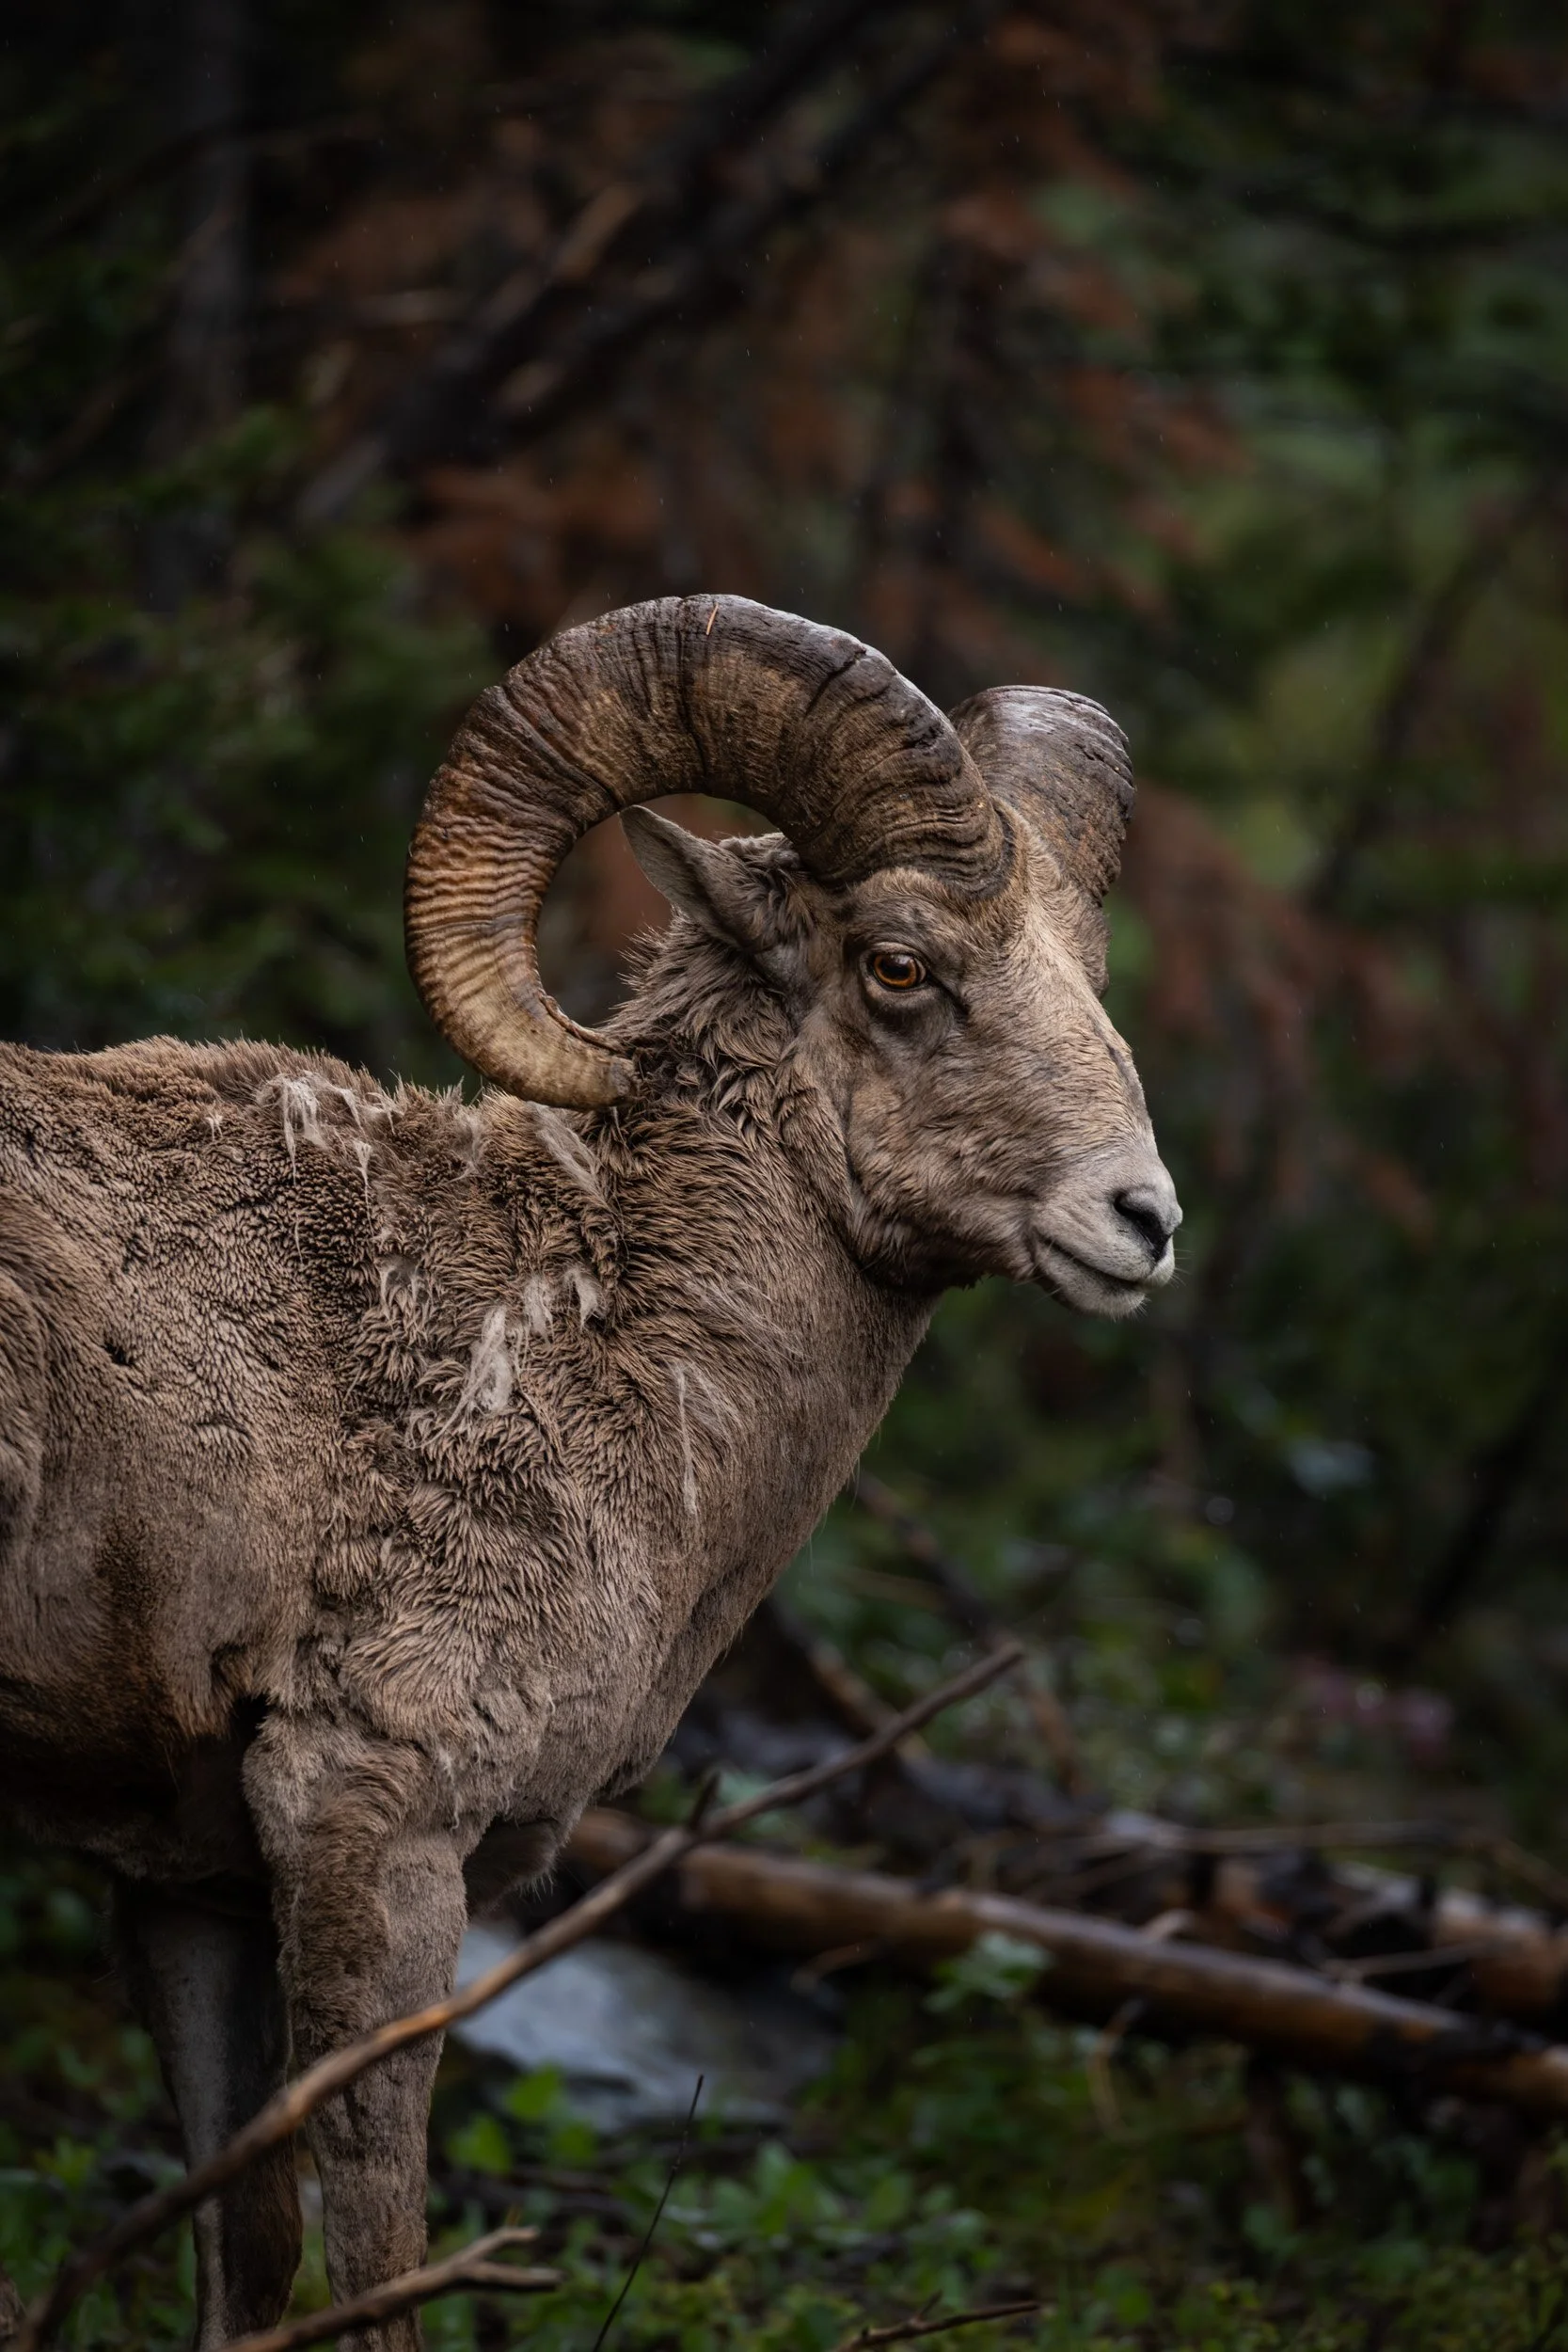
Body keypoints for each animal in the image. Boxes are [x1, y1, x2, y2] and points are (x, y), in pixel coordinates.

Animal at [0, 594, 1179, 2349]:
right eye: (898, 964)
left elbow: (250, 2256)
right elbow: (376, 2243)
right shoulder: (374, 1824)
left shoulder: (189, 1886)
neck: (583, 1337)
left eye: (1080, 971)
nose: (1140, 1223)